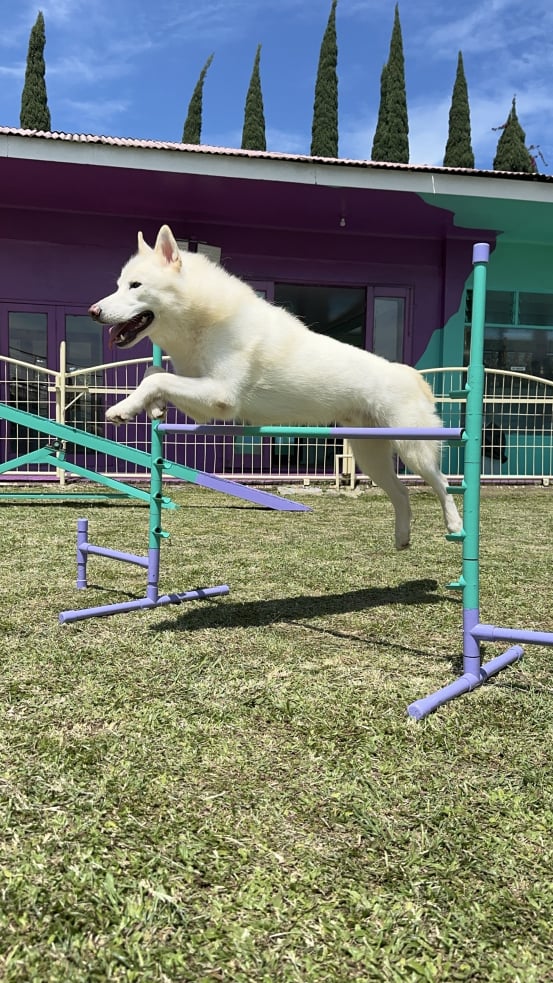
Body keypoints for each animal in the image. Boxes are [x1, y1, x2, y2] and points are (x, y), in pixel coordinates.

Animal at [89, 225, 462, 549]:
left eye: (135, 285)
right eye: (119, 285)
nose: (93, 311)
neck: (203, 316)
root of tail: (412, 374)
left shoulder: (220, 395)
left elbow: (157, 377)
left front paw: (122, 408)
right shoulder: (204, 404)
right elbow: (152, 372)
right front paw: (151, 406)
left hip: (414, 448)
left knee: (442, 483)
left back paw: (455, 525)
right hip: (370, 454)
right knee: (401, 492)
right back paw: (402, 538)